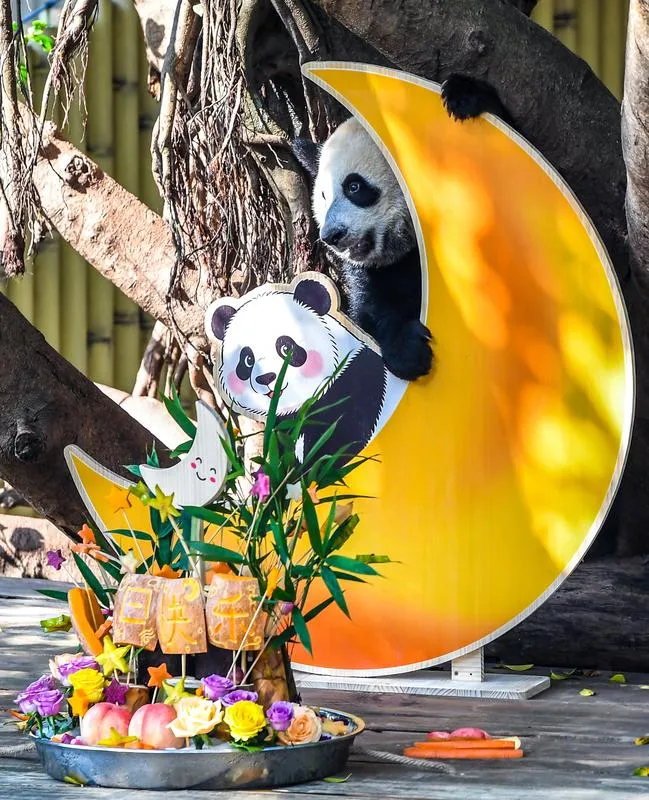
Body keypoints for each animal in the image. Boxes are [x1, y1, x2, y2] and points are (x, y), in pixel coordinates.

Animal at [205, 274, 399, 463]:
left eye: (286, 347)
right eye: (247, 359)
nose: (266, 377)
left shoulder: (352, 388)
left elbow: (340, 444)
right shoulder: (284, 423)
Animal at [292, 117, 433, 383]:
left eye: (354, 186)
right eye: (324, 196)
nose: (332, 235)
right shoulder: (375, 271)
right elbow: (371, 307)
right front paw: (407, 351)